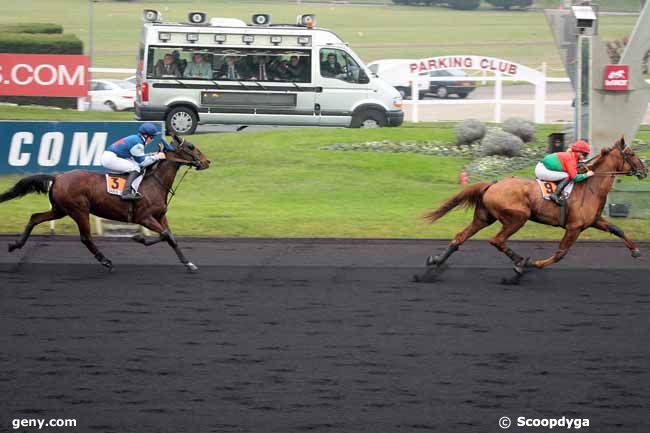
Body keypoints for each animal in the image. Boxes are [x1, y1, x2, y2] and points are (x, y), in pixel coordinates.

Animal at [0, 134, 208, 270]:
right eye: (191, 147)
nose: (207, 162)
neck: (155, 183)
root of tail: (57, 177)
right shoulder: (144, 217)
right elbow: (165, 235)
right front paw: (139, 238)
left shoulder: (160, 216)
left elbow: (170, 237)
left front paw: (188, 263)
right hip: (79, 210)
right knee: (86, 238)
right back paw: (105, 260)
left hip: (60, 209)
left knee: (35, 217)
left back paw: (16, 244)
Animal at [412, 136, 644, 284]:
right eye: (632, 153)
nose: (645, 169)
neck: (590, 187)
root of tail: (492, 184)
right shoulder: (574, 227)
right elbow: (560, 253)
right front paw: (534, 263)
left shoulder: (593, 221)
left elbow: (617, 230)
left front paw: (636, 251)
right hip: (518, 217)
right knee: (497, 240)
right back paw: (520, 263)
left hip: (484, 218)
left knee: (460, 237)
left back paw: (434, 264)